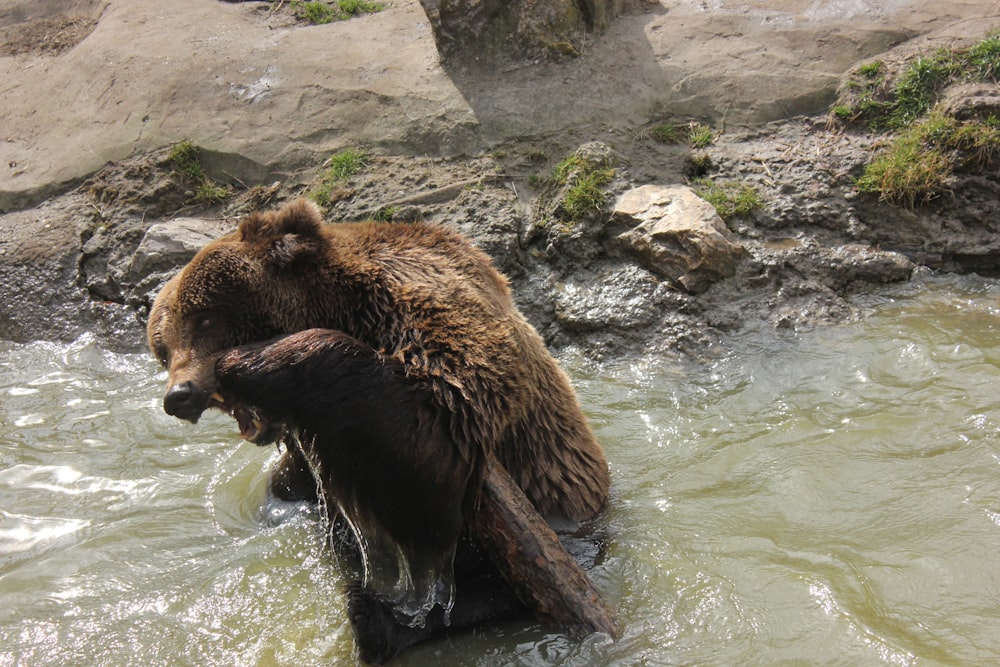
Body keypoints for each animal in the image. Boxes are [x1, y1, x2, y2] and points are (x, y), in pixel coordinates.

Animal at [147, 198, 608, 664]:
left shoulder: (430, 317)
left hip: (566, 518)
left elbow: (439, 442)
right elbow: (291, 483)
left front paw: (252, 360)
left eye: (204, 318)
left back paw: (377, 618)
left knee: (503, 589)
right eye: (162, 346)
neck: (345, 306)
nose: (179, 395)